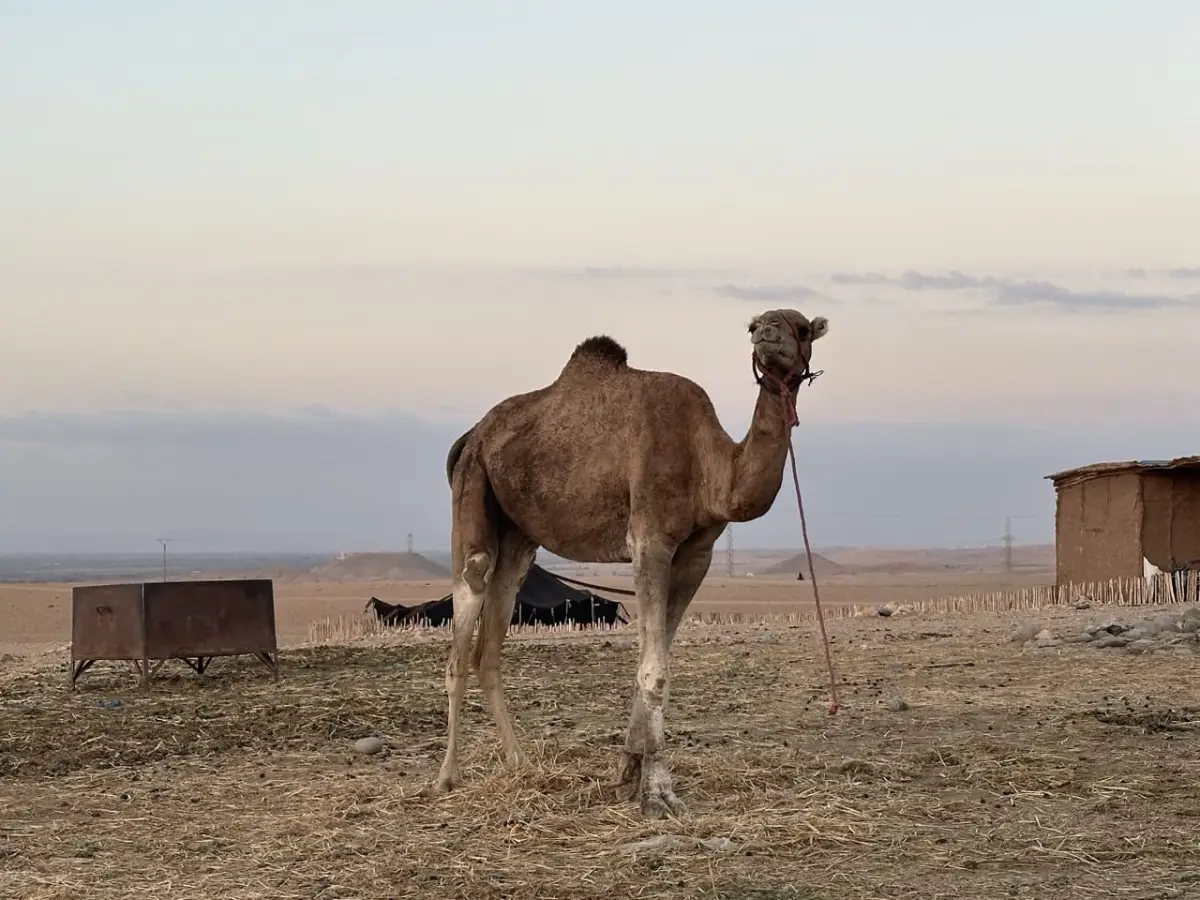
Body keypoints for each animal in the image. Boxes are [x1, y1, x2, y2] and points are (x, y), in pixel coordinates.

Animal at [427, 307, 829, 817]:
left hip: (518, 534)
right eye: (754, 324)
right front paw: (658, 793)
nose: (767, 333)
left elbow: (652, 660)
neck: (711, 466)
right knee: (468, 610)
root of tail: (468, 437)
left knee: (493, 635)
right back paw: (447, 777)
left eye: (801, 328)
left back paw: (520, 764)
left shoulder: (697, 554)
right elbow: (655, 671)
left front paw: (628, 774)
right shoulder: (650, 539)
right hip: (474, 487)